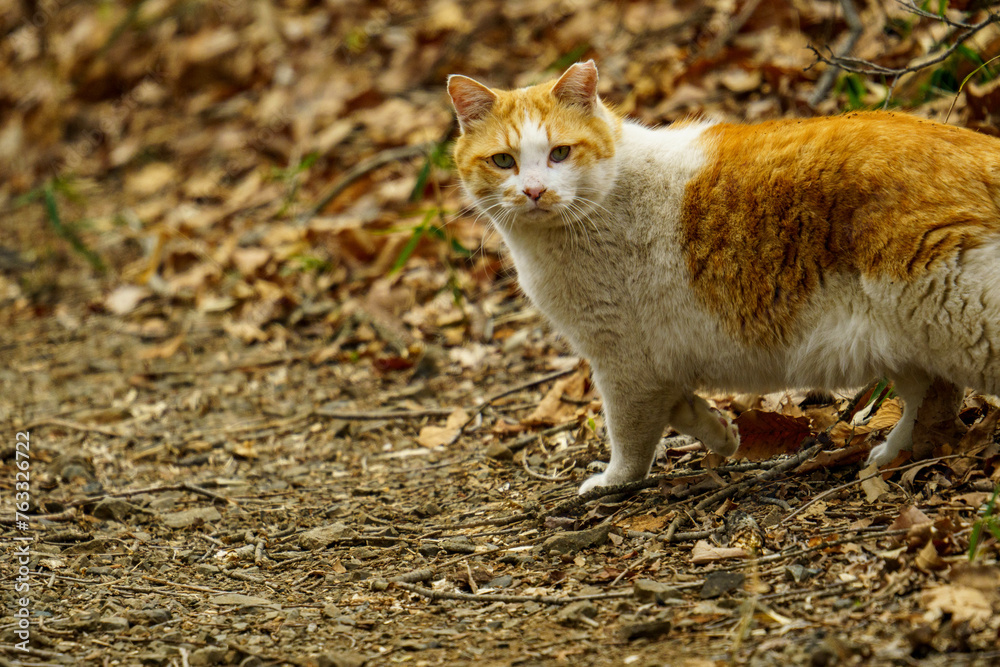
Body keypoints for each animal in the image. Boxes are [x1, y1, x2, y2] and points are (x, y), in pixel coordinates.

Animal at [450, 60, 1000, 494]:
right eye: (504, 161)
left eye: (560, 153)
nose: (534, 191)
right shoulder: (651, 365)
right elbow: (679, 408)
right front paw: (721, 433)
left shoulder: (621, 363)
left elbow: (628, 435)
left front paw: (614, 482)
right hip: (905, 339)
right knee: (934, 400)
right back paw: (894, 454)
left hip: (952, 314)